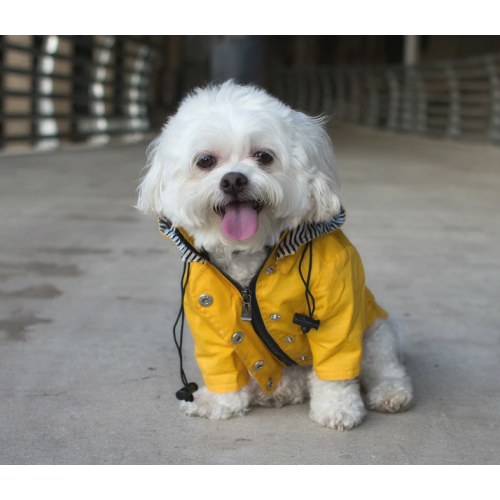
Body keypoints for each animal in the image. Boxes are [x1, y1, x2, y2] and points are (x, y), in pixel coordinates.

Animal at [135, 79, 412, 430]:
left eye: (263, 156)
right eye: (206, 161)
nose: (234, 179)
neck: (251, 258)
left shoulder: (340, 307)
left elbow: (335, 367)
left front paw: (337, 408)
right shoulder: (207, 321)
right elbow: (221, 365)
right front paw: (220, 402)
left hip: (377, 333)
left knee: (386, 367)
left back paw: (391, 393)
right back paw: (279, 390)